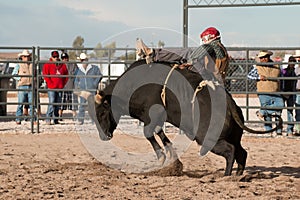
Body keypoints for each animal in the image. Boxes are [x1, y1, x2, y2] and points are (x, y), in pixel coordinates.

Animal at [79, 60, 282, 176]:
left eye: (102, 112)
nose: (104, 136)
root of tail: (230, 104)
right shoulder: (154, 119)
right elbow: (160, 135)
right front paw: (171, 157)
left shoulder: (154, 114)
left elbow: (149, 133)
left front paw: (163, 157)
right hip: (232, 136)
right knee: (242, 152)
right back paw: (239, 175)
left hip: (208, 139)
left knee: (231, 151)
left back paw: (226, 175)